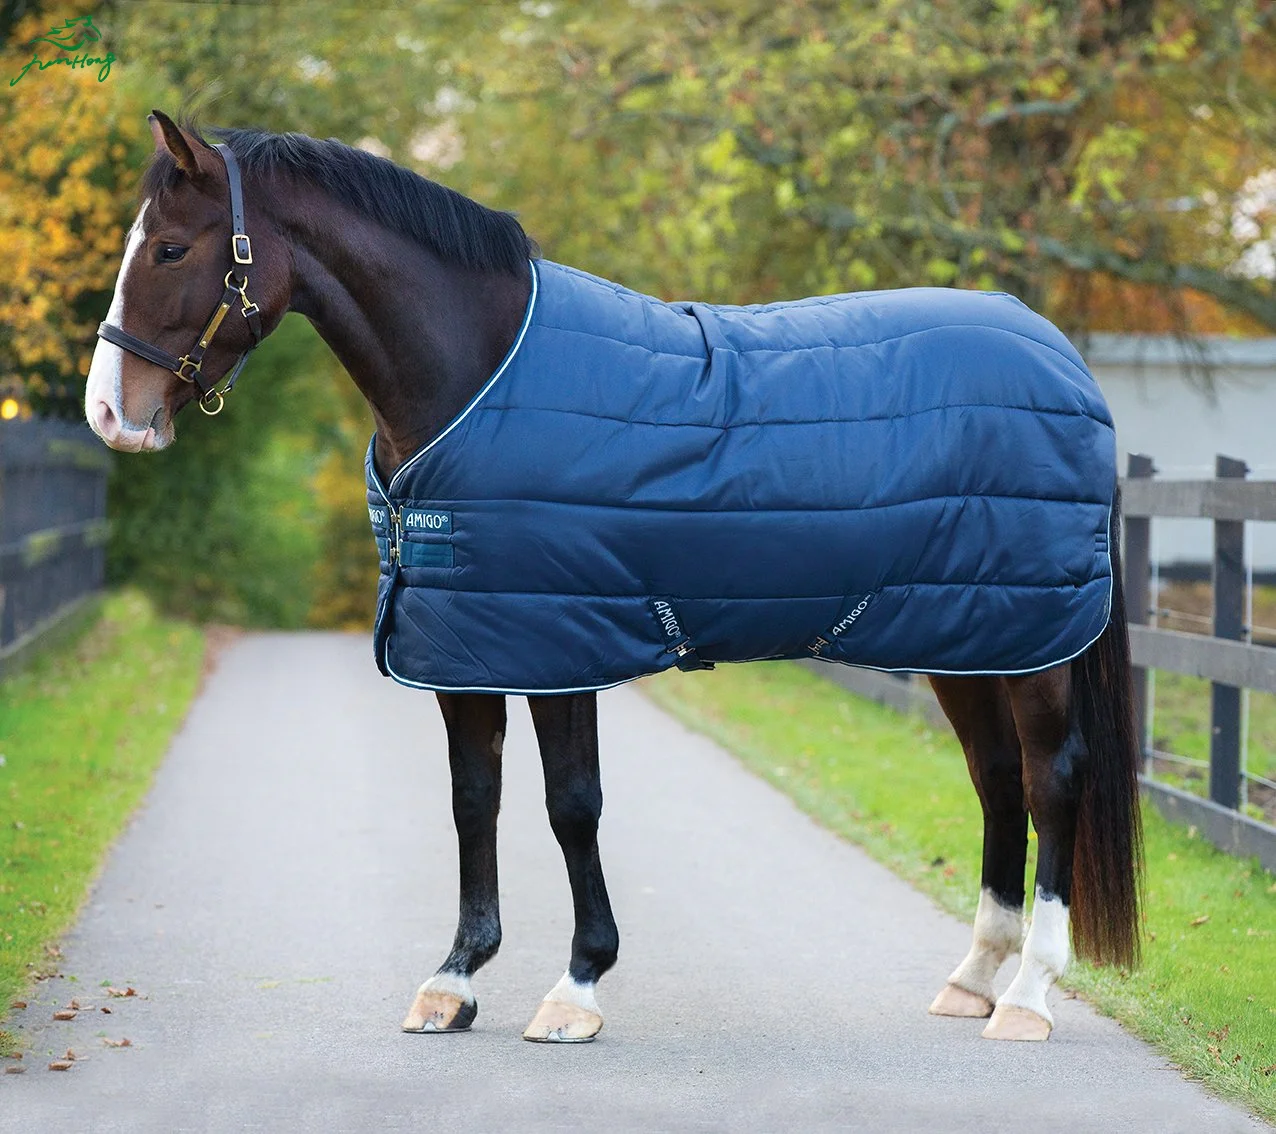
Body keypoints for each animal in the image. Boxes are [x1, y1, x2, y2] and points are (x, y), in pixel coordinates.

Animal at [84, 111, 1142, 1045]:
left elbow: (571, 807)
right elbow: (474, 801)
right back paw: (973, 980)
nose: (110, 412)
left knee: (1052, 780)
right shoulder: (468, 650)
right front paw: (454, 980)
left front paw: (577, 987)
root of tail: (1064, 358)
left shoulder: (562, 647)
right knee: (998, 780)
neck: (477, 379)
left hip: (1036, 647)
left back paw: (1028, 997)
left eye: (170, 249)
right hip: (973, 638)